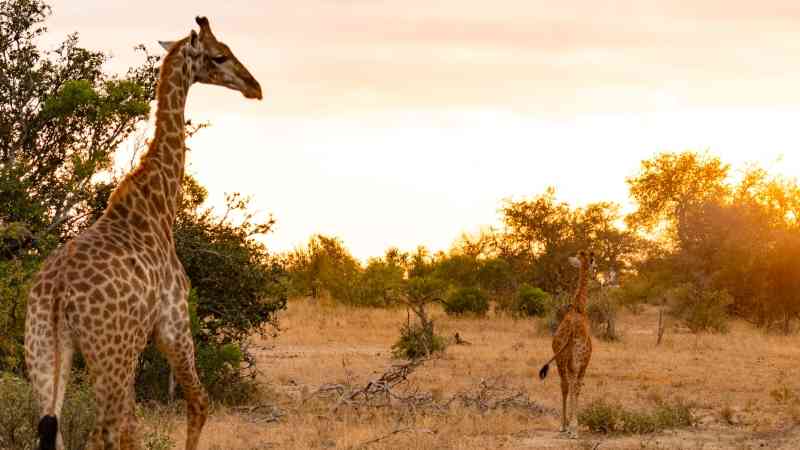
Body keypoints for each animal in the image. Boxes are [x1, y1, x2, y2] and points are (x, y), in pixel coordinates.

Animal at [24, 16, 262, 450]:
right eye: (220, 55)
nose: (255, 86)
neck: (157, 205)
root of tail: (57, 294)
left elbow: (137, 425)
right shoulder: (174, 321)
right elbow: (198, 403)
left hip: (44, 349)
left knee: (57, 428)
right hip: (111, 352)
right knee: (104, 430)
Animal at [536, 248, 592, 438]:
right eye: (593, 261)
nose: (595, 270)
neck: (579, 308)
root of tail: (571, 331)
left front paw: (567, 425)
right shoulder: (584, 361)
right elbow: (578, 387)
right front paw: (574, 426)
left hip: (561, 358)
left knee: (564, 385)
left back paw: (563, 426)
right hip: (577, 358)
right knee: (574, 385)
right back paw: (573, 428)